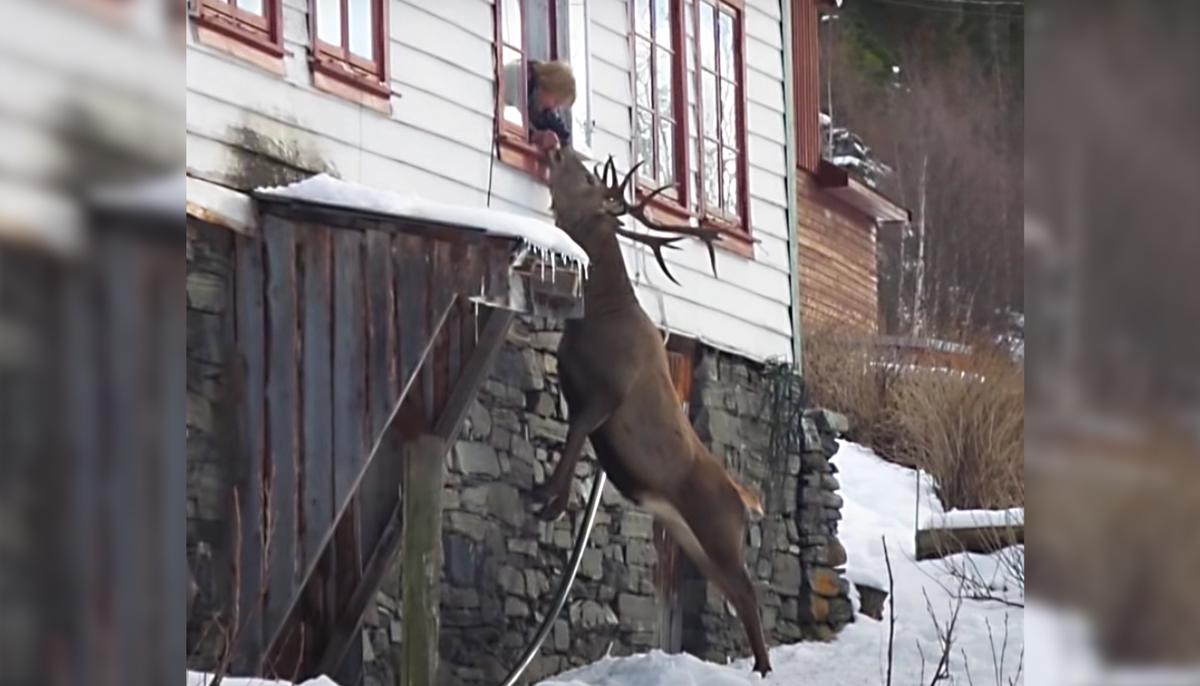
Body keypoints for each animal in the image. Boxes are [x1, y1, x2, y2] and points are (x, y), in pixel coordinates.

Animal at [532, 147, 772, 676]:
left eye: (586, 178)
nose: (557, 148)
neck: (599, 315)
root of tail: (746, 502)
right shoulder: (573, 387)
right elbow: (571, 438)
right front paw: (554, 501)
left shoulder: (609, 392)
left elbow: (576, 436)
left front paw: (546, 497)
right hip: (694, 542)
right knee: (736, 595)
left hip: (720, 533)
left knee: (748, 592)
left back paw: (764, 669)